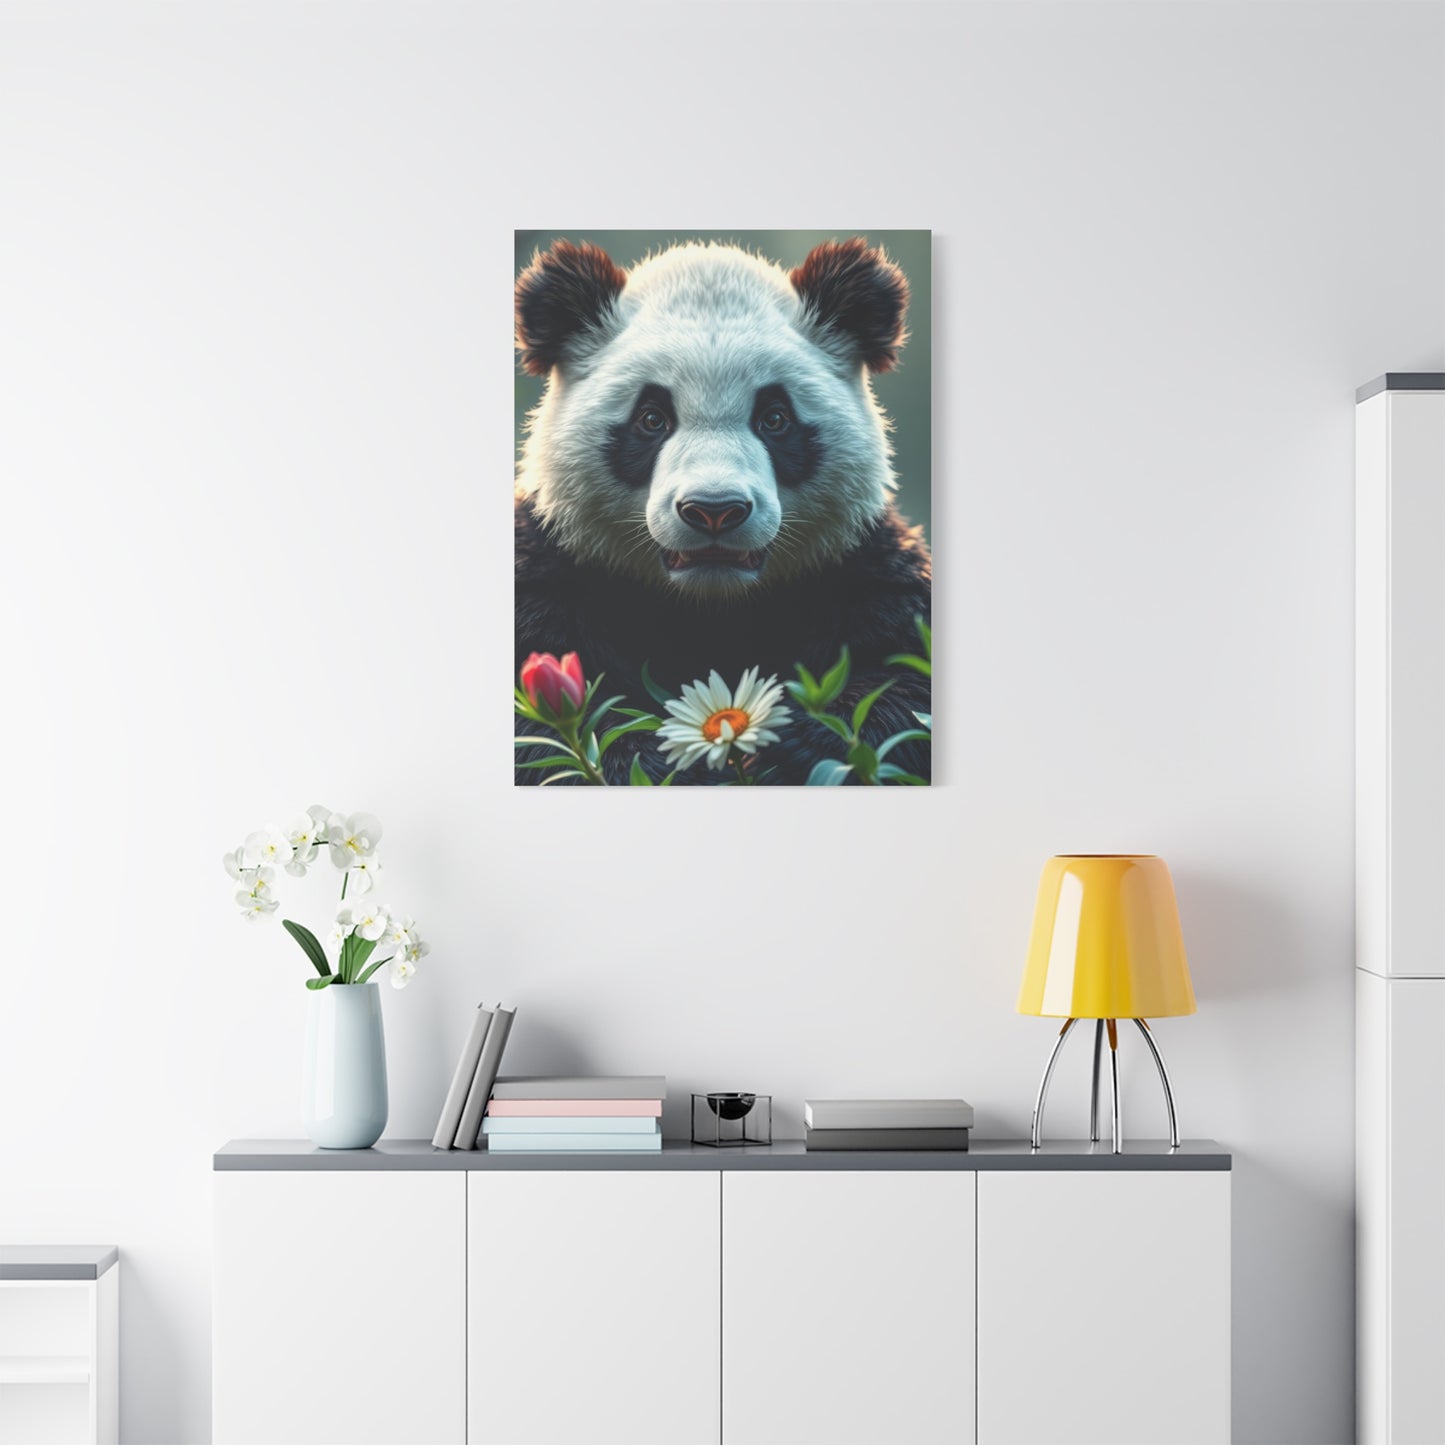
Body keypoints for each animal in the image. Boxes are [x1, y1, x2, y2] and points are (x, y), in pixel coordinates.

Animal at [514, 235, 931, 784]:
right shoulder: (552, 569)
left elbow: (908, 679)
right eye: (652, 419)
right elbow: (542, 731)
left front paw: (794, 742)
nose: (714, 510)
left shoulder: (860, 566)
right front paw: (658, 760)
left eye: (774, 418)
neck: (711, 608)